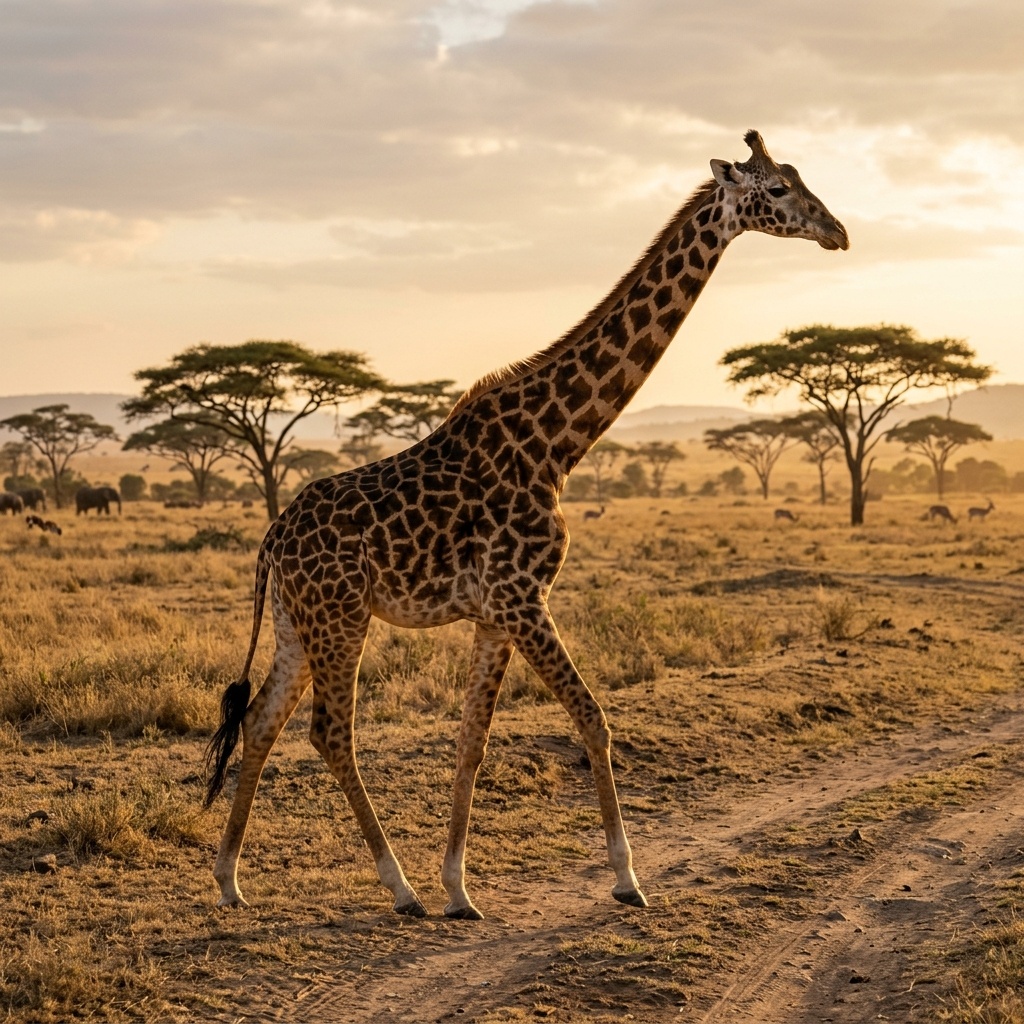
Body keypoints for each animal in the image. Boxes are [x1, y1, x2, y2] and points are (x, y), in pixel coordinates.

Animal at [205, 130, 849, 920]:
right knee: (329, 732)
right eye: (780, 189)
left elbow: (472, 740)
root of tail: (272, 540)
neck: (558, 444)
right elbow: (593, 716)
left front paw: (460, 887)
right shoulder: (522, 596)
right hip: (340, 615)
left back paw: (231, 879)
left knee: (261, 720)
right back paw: (398, 887)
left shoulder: (494, 611)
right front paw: (626, 878)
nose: (838, 231)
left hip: (298, 621)